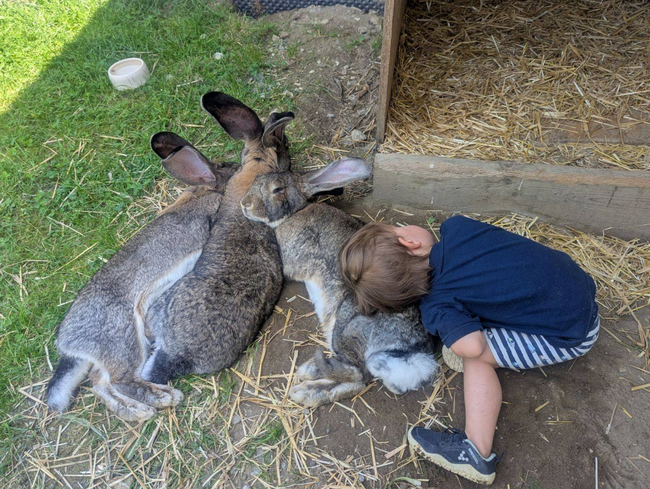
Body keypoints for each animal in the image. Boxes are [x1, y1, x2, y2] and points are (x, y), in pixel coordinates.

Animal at [47, 132, 237, 421]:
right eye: (232, 167)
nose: (240, 165)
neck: (209, 191)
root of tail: (69, 344)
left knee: (100, 383)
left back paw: (137, 412)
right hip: (125, 338)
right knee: (120, 380)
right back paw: (164, 398)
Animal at [240, 158, 440, 408]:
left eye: (277, 189)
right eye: (257, 179)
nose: (244, 204)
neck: (296, 212)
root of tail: (414, 353)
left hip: (346, 328)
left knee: (357, 375)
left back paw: (308, 387)